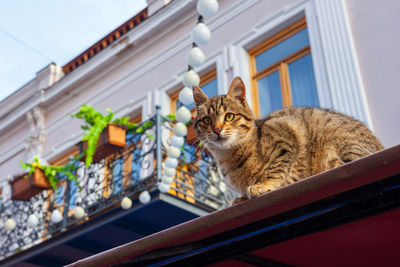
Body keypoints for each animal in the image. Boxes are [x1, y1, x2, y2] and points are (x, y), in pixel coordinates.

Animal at [192, 77, 382, 205]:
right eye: (207, 120)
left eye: (229, 116)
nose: (217, 130)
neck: (228, 156)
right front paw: (242, 197)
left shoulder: (286, 133)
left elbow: (275, 169)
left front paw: (261, 185)